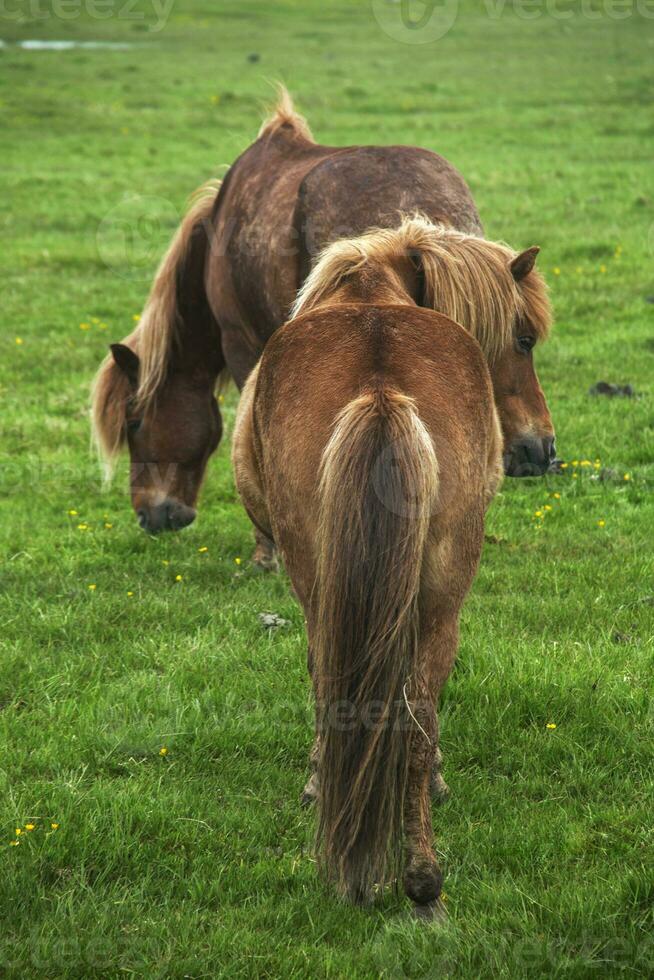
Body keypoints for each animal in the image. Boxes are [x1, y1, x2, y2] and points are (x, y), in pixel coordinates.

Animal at [234, 214, 552, 912]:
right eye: (522, 338)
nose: (541, 448)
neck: (370, 289)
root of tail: (380, 392)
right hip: (436, 601)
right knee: (414, 711)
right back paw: (421, 873)